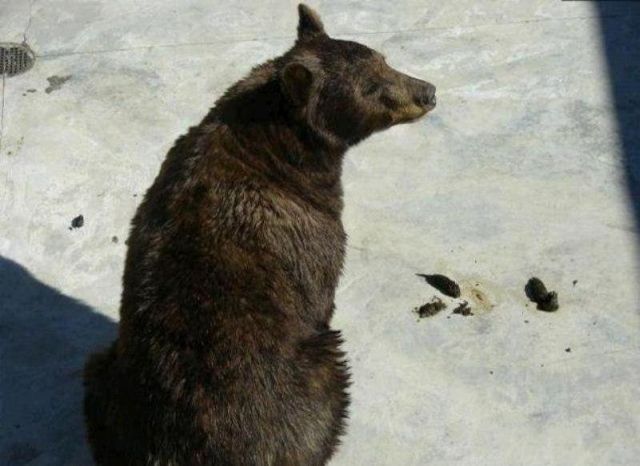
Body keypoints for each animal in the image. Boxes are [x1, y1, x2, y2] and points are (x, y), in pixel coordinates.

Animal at [83, 4, 436, 465]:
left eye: (385, 59)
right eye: (374, 88)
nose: (428, 92)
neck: (280, 146)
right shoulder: (310, 225)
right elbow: (322, 285)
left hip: (109, 386)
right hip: (303, 385)